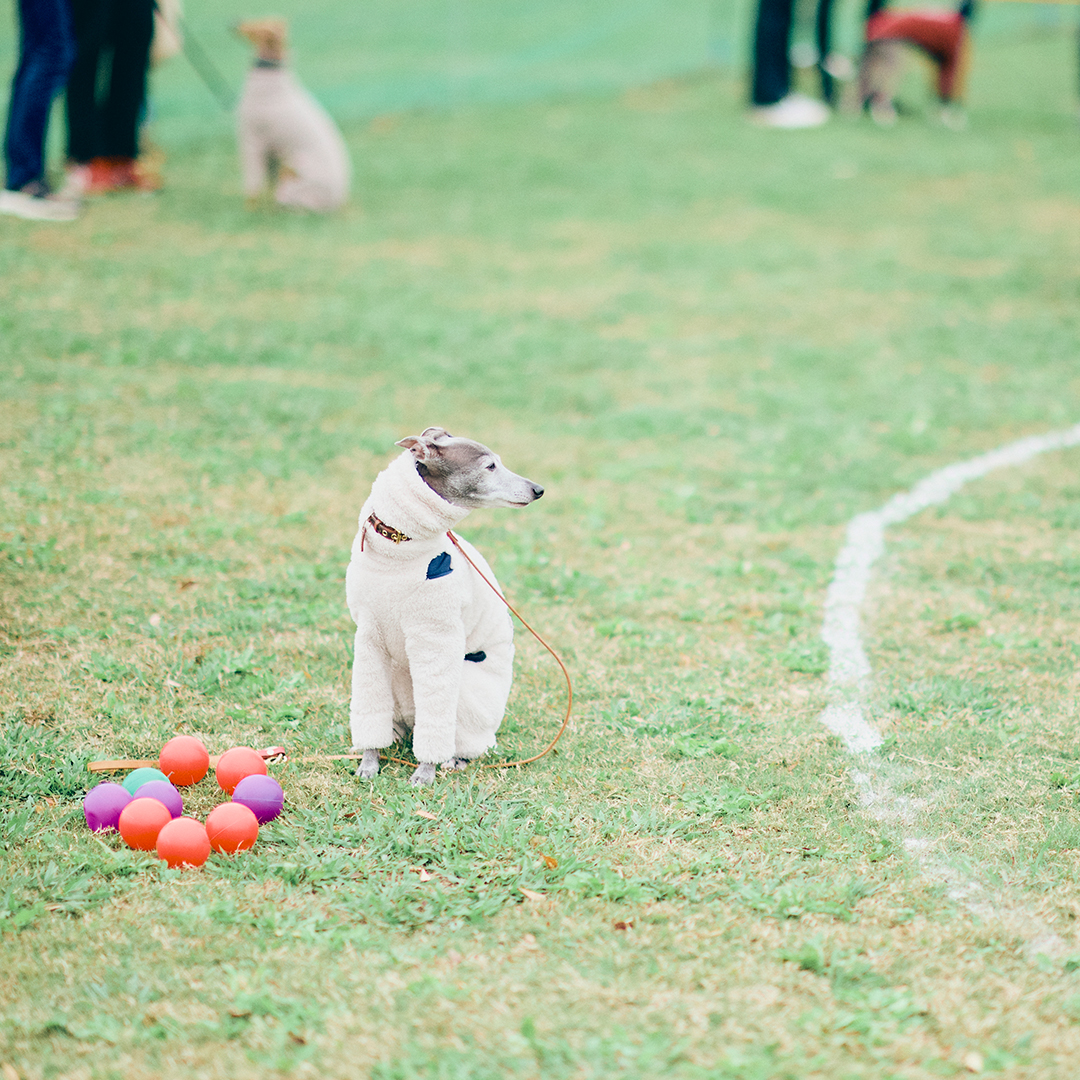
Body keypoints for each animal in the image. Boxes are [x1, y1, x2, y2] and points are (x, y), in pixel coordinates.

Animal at [235, 19, 349, 211]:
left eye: (257, 26)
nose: (234, 22)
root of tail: (336, 204)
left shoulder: (252, 142)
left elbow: (253, 187)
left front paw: (249, 208)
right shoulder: (271, 154)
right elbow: (265, 187)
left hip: (289, 178)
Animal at [345, 427, 544, 786]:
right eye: (490, 466)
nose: (538, 489)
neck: (397, 550)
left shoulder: (435, 635)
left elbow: (435, 715)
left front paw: (425, 771)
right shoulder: (368, 637)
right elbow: (369, 706)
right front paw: (369, 761)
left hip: (466, 690)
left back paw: (454, 759)